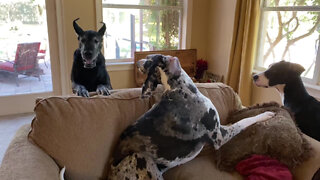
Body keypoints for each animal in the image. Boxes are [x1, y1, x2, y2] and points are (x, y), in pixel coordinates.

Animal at [108, 54, 276, 180]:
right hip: (145, 161)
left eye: (149, 59)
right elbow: (243, 122)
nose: (137, 63)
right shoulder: (219, 136)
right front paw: (266, 113)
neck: (178, 89)